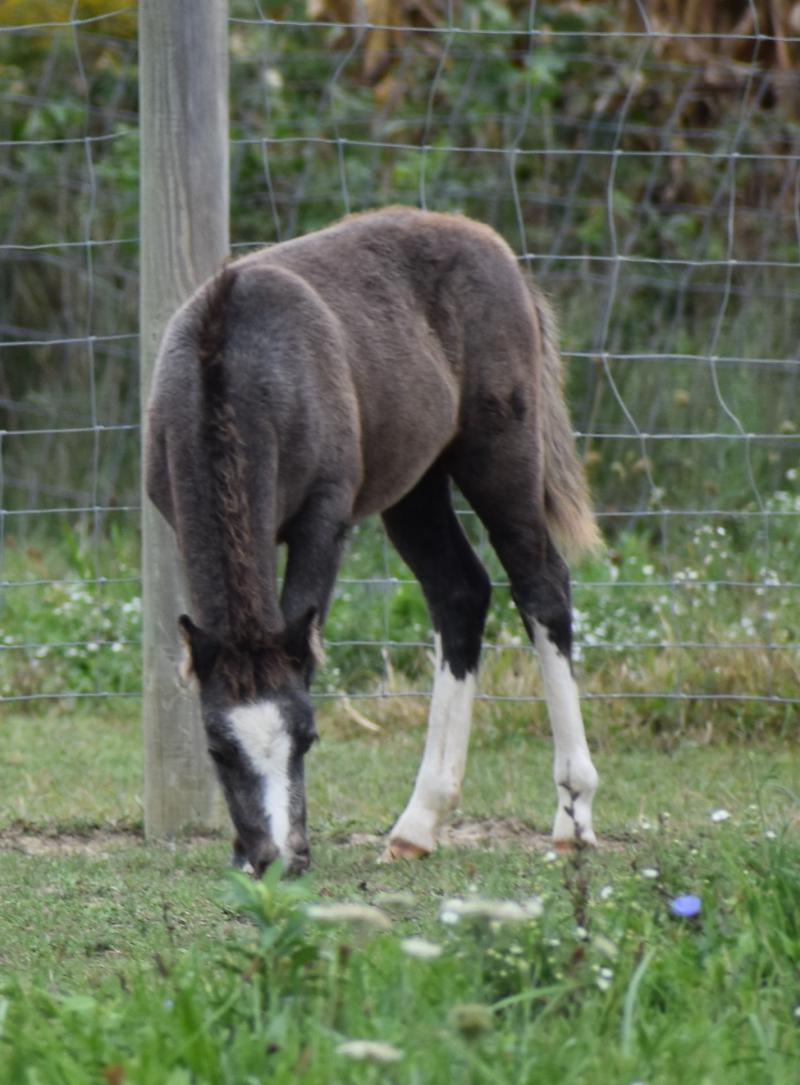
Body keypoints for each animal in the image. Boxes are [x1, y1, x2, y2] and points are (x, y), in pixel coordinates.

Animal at [145, 206, 601, 877]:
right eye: (217, 748)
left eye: (308, 737)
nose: (279, 860)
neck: (231, 365)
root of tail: (493, 247)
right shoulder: (180, 523)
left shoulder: (323, 520)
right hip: (415, 485)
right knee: (460, 593)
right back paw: (419, 822)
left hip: (501, 459)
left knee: (542, 586)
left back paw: (573, 815)